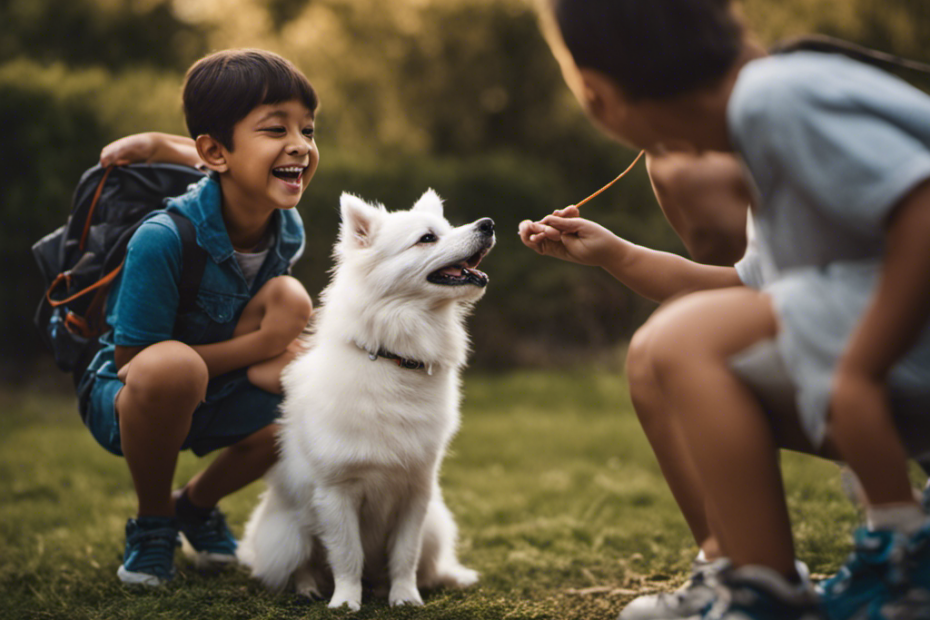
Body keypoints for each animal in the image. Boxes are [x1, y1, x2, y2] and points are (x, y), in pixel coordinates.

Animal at [237, 190, 492, 612]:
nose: (488, 224)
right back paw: (310, 588)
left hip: (437, 525)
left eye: (449, 227)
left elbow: (405, 555)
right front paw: (345, 601)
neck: (395, 358)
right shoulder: (337, 493)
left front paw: (405, 597)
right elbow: (346, 555)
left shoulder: (416, 492)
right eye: (427, 238)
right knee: (300, 565)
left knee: (428, 563)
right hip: (291, 533)